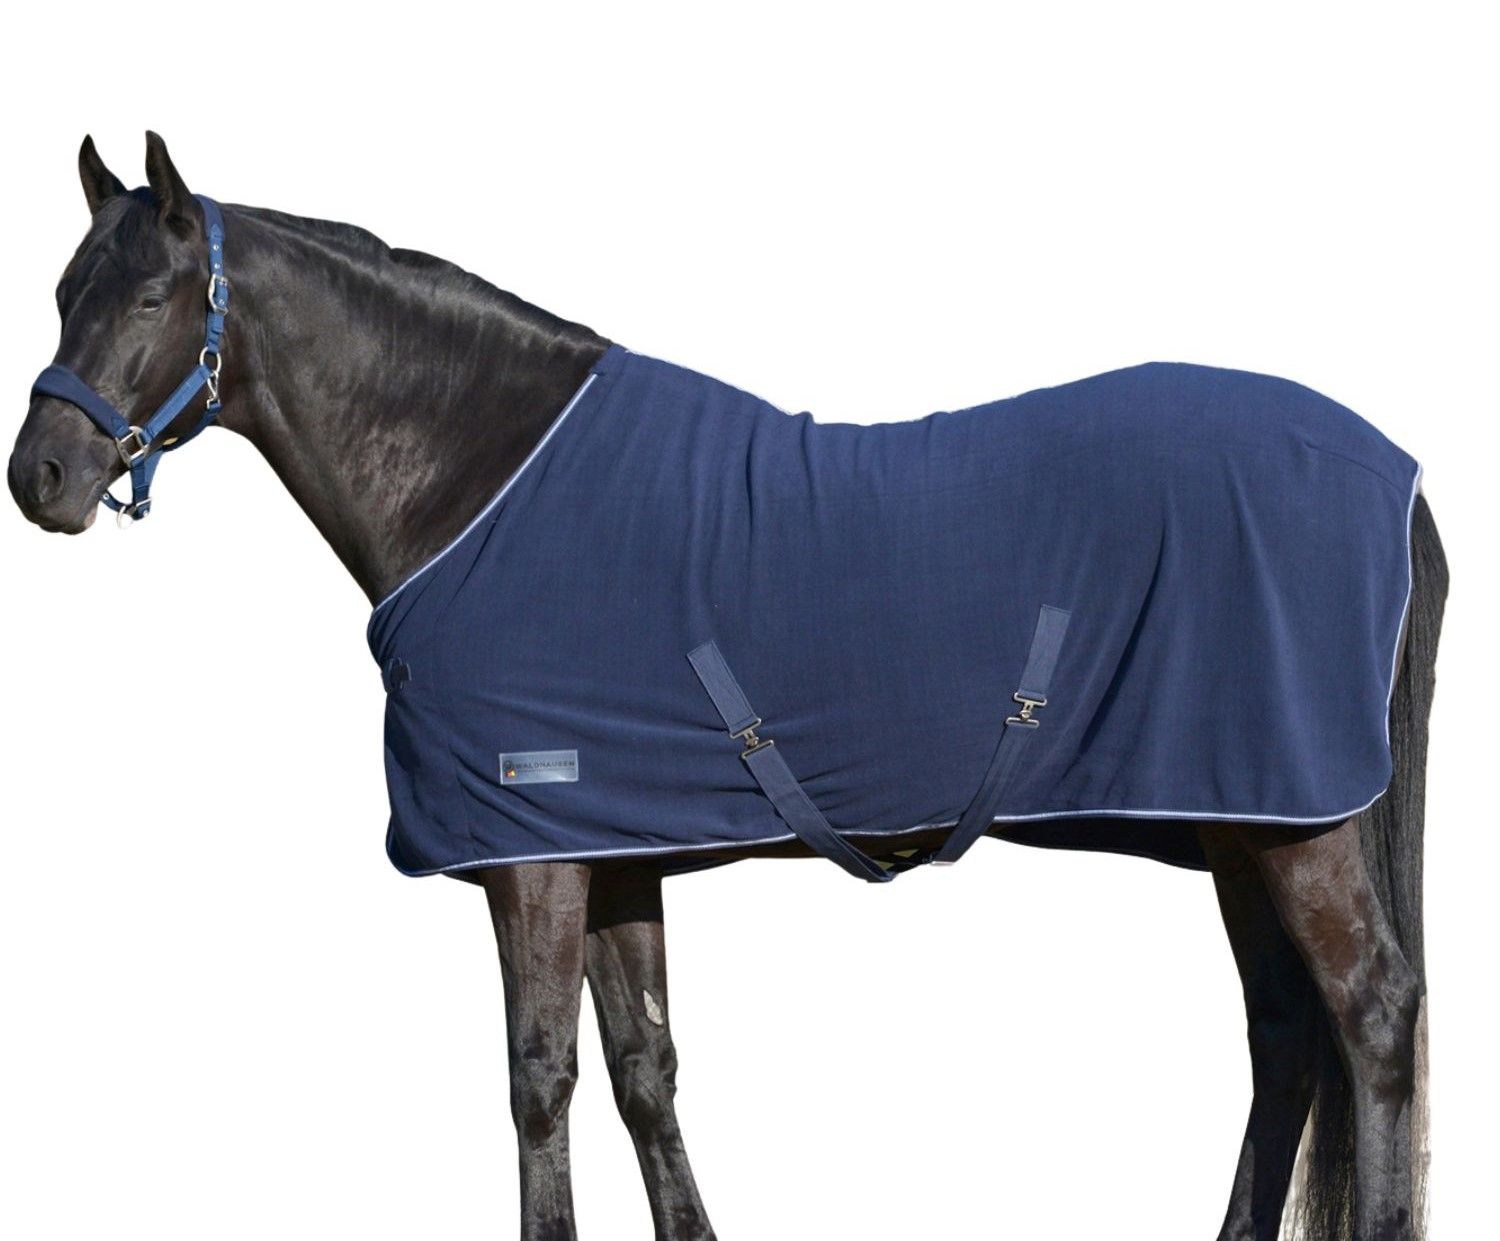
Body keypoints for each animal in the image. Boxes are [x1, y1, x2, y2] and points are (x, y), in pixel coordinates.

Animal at [9, 133, 1447, 1241]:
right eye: (65, 288)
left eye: (154, 298)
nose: (41, 479)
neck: (482, 479)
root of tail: (1395, 474)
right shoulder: (609, 848)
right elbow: (645, 1070)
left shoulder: (532, 857)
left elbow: (540, 1079)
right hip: (1241, 824)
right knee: (1286, 1035)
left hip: (1299, 828)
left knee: (1369, 1015)